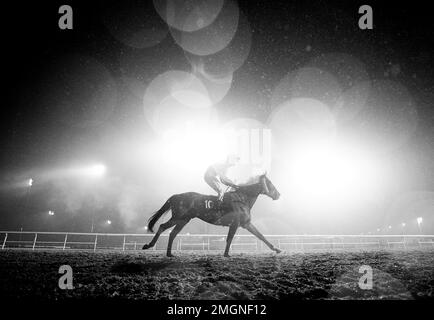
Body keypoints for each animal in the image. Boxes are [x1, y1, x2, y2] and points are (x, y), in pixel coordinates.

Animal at [142, 174, 282, 256]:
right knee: (162, 226)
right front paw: (226, 254)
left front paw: (276, 249)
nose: (279, 194)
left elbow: (261, 236)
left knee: (172, 233)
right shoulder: (235, 223)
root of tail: (176, 196)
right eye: (270, 183)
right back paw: (149, 245)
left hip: (184, 220)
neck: (242, 199)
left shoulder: (246, 223)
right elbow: (230, 238)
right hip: (178, 217)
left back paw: (169, 253)